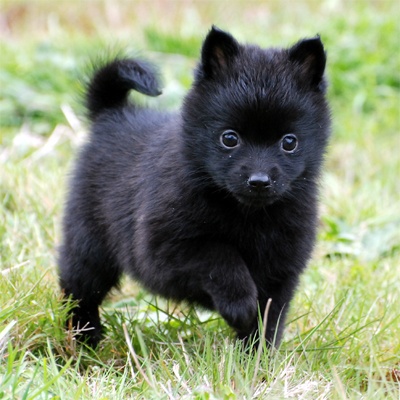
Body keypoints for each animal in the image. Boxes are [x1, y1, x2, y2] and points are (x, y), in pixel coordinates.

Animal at [58, 26, 328, 348]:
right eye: (229, 138)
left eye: (289, 142)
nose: (259, 181)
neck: (247, 213)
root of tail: (112, 112)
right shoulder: (162, 249)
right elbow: (220, 255)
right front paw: (239, 304)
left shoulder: (282, 270)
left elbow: (268, 319)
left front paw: (256, 356)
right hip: (89, 243)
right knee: (80, 289)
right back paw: (84, 337)